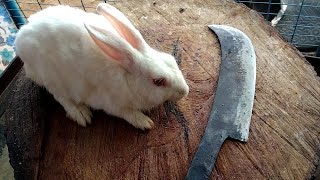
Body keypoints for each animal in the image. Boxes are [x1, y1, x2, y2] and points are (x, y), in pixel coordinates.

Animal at [15, 2, 189, 129]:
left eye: (171, 60)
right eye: (158, 81)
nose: (185, 91)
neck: (126, 75)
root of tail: (21, 37)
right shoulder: (112, 105)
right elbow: (128, 114)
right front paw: (145, 123)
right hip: (52, 78)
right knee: (61, 97)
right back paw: (81, 113)